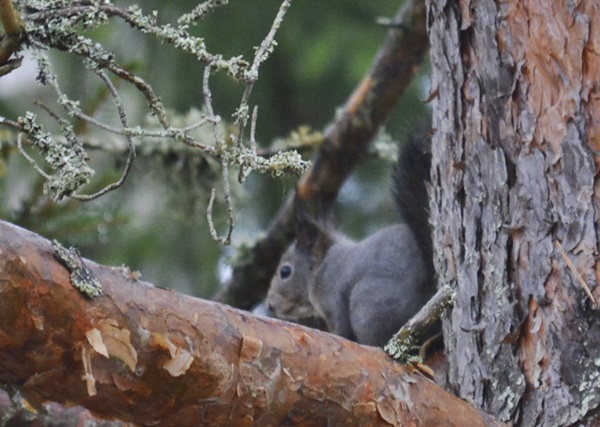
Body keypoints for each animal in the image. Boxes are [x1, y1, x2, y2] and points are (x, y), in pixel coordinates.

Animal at [266, 130, 432, 348]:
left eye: (285, 271)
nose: (270, 305)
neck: (322, 263)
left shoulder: (334, 295)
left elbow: (342, 331)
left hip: (369, 306)